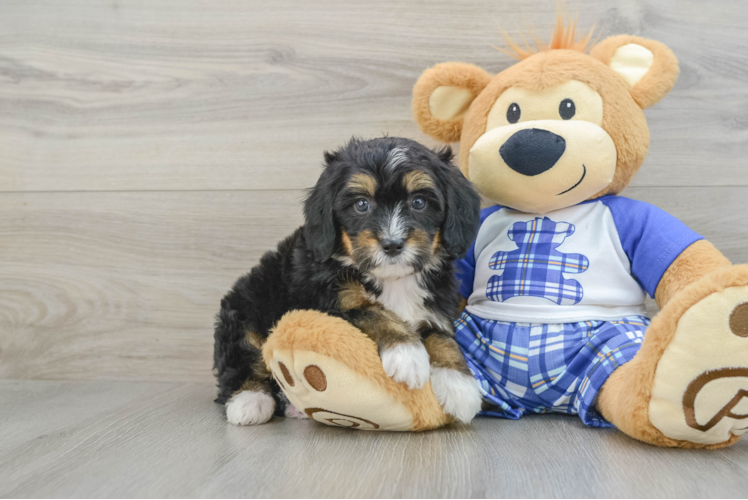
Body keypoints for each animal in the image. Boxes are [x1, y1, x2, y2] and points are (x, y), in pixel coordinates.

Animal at [215, 137, 486, 426]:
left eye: (419, 202)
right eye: (361, 204)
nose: (392, 244)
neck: (392, 280)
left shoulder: (437, 305)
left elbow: (442, 337)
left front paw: (459, 385)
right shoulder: (329, 303)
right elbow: (374, 312)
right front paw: (407, 354)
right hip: (247, 304)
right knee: (243, 356)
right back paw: (249, 401)